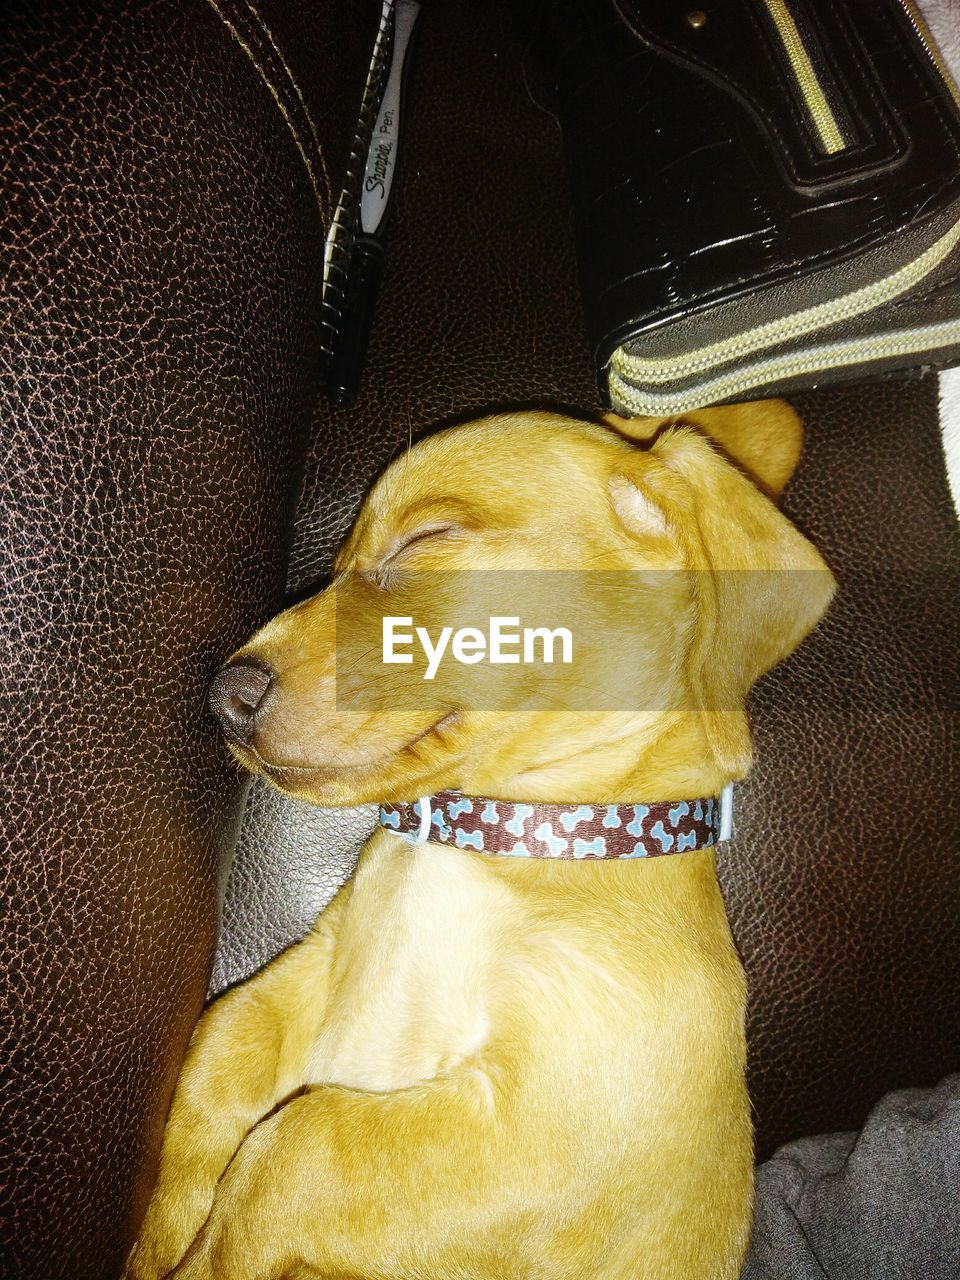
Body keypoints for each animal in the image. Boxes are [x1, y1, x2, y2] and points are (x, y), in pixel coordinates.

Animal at [126, 401, 834, 1280]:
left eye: (425, 540)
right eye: (334, 564)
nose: (223, 697)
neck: (483, 840)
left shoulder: (542, 1131)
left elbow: (295, 1149)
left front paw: (204, 1259)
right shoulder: (307, 971)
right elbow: (216, 1063)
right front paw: (161, 1238)